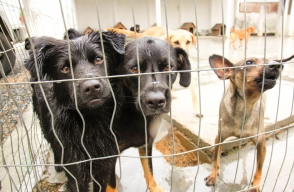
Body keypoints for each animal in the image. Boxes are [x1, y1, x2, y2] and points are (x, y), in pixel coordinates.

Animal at [25, 30, 125, 191]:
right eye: (65, 69)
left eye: (98, 59)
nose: (91, 87)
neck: (91, 122)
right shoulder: (76, 175)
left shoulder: (106, 166)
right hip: (44, 123)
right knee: (53, 144)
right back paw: (58, 164)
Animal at [111, 36, 192, 192]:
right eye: (134, 68)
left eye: (168, 67)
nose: (155, 101)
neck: (134, 115)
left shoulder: (146, 144)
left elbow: (149, 170)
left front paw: (155, 188)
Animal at [204, 53, 294, 191]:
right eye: (249, 62)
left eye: (268, 60)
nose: (277, 65)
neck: (244, 107)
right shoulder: (219, 139)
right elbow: (215, 160)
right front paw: (214, 175)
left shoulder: (261, 145)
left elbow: (259, 170)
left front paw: (255, 186)